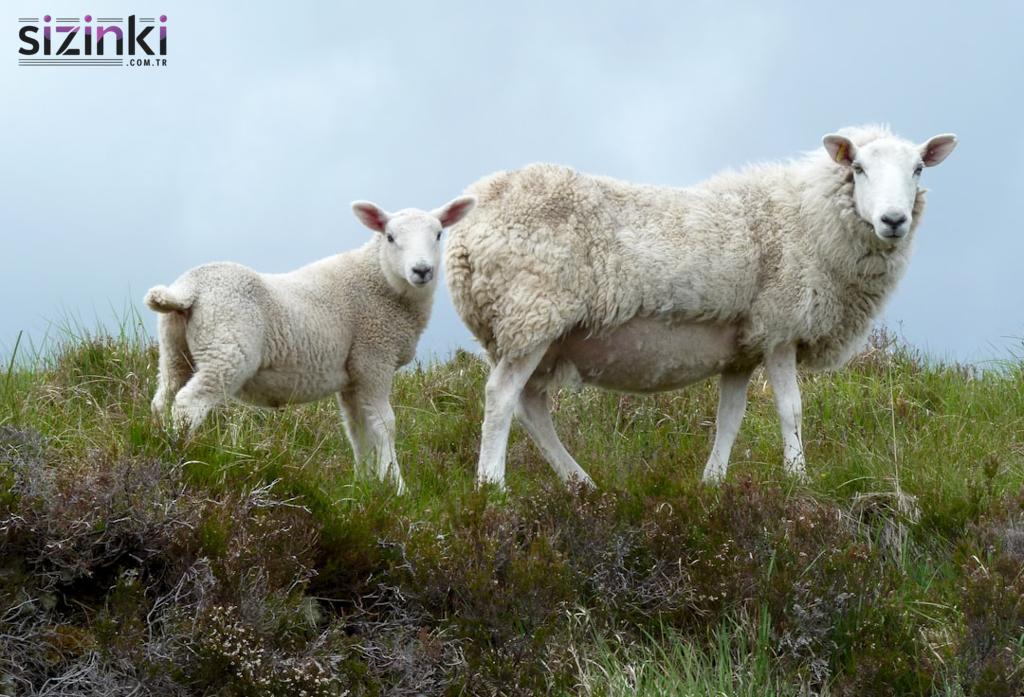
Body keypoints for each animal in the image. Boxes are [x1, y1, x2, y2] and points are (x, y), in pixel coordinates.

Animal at [146, 193, 477, 491]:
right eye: (390, 237)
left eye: (438, 234)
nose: (421, 270)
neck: (383, 283)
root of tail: (189, 289)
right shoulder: (374, 359)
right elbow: (386, 425)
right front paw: (397, 487)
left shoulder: (353, 376)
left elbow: (358, 430)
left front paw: (364, 483)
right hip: (227, 350)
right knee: (188, 403)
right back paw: (183, 455)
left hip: (175, 349)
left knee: (162, 398)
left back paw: (160, 444)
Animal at [448, 124, 958, 487]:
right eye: (859, 169)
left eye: (918, 169)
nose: (894, 220)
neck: (807, 218)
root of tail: (464, 234)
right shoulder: (780, 327)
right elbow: (791, 409)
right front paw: (798, 480)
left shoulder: (742, 349)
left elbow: (729, 419)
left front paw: (712, 483)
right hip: (532, 312)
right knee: (501, 398)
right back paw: (492, 486)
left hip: (535, 334)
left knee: (530, 407)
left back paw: (580, 483)